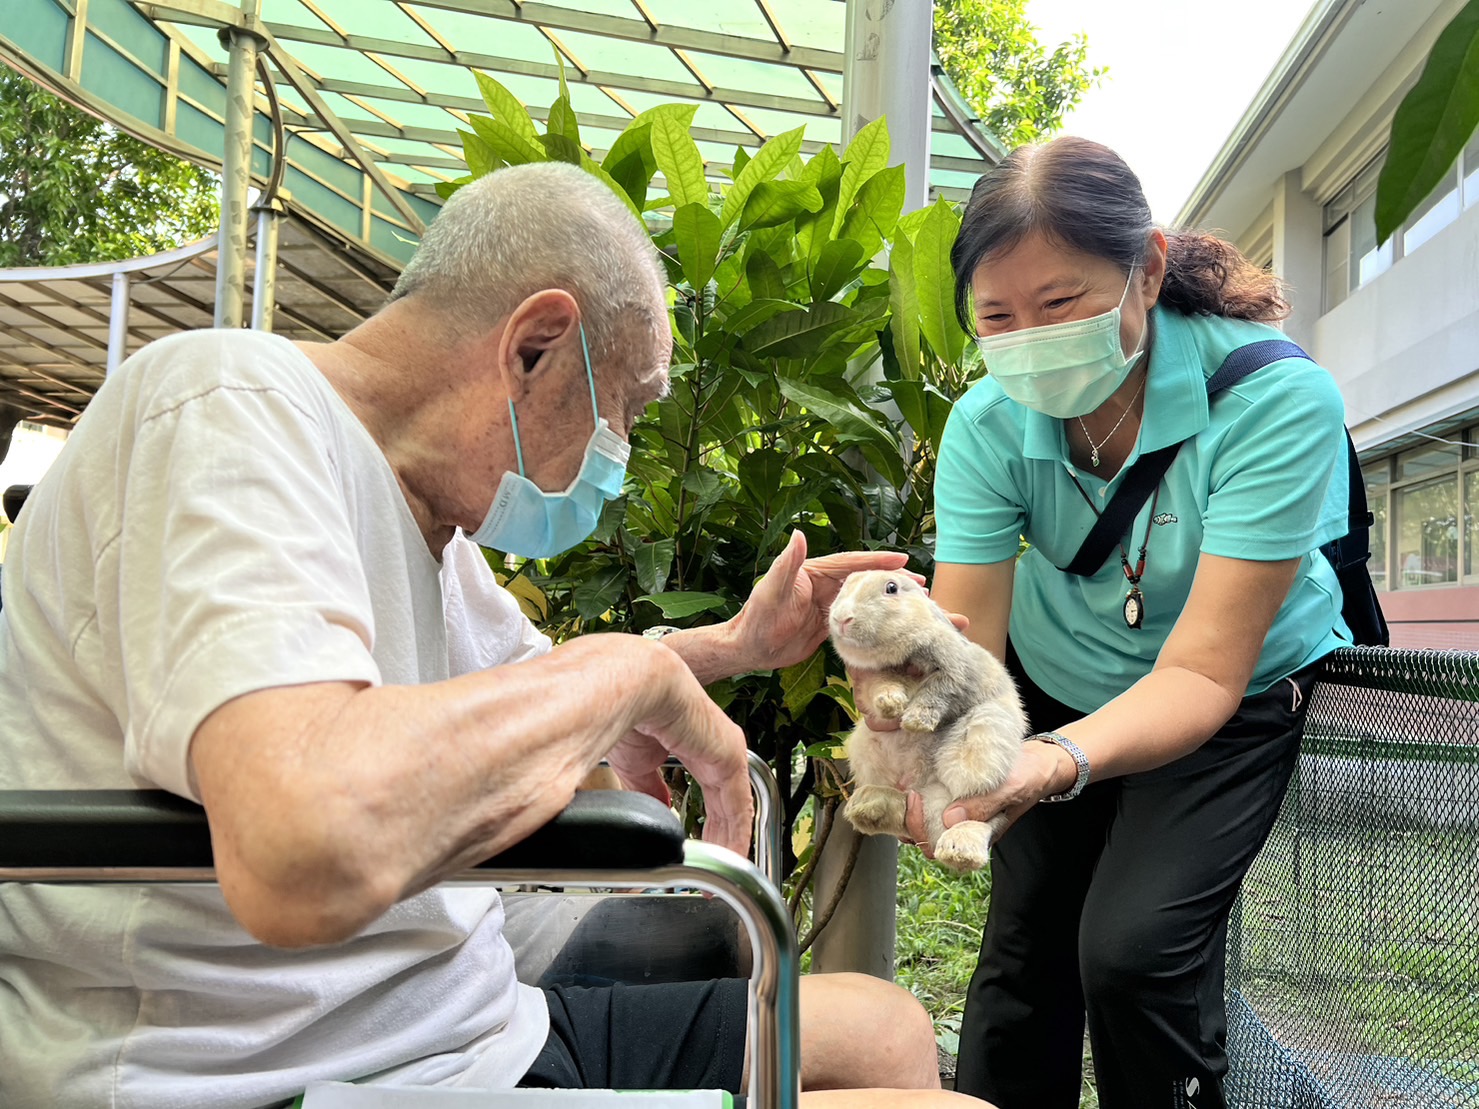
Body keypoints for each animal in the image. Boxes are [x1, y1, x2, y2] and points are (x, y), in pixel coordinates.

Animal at [834, 573, 1029, 875]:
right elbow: (883, 685)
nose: (842, 618)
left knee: (980, 816)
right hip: (865, 747)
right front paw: (891, 704)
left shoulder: (954, 671)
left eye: (891, 588)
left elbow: (937, 692)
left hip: (983, 741)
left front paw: (915, 722)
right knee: (905, 807)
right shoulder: (874, 678)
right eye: (844, 584)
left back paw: (960, 850)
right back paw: (866, 807)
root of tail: (919, 783)